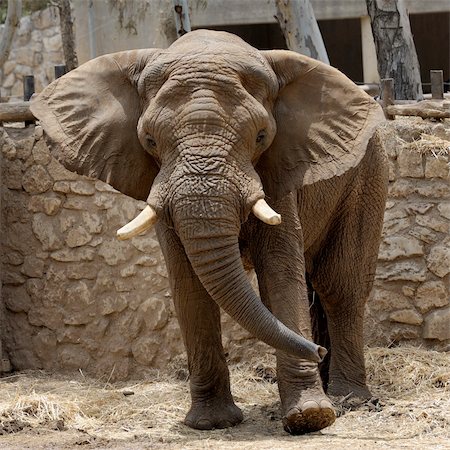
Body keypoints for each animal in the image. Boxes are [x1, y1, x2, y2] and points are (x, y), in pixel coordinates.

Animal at [29, 29, 388, 436]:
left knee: (339, 287)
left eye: (261, 136)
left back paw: (349, 400)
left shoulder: (280, 167)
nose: (316, 351)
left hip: (368, 174)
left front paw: (310, 418)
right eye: (149, 140)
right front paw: (211, 423)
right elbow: (188, 281)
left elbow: (279, 271)